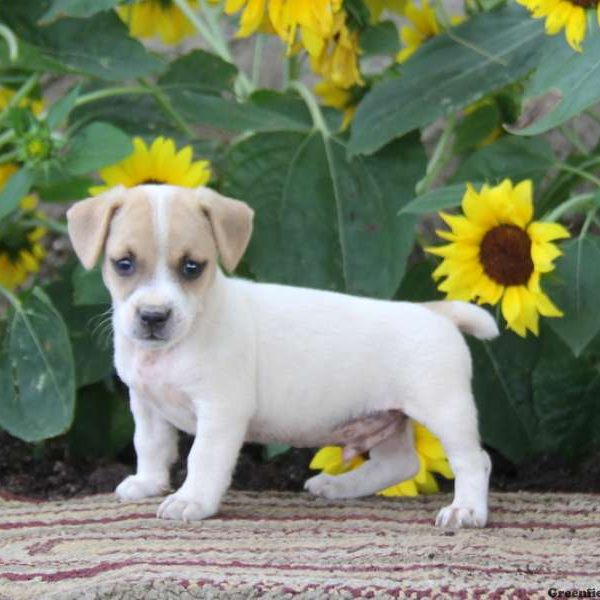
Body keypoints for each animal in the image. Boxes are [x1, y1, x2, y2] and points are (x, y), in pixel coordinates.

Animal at [67, 185, 496, 528]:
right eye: (123, 264)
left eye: (192, 267)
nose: (154, 316)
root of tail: (433, 312)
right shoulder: (146, 405)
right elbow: (150, 446)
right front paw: (148, 483)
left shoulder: (220, 412)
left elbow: (202, 458)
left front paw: (191, 500)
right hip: (385, 417)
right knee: (401, 463)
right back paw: (340, 485)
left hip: (445, 412)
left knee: (475, 461)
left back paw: (466, 511)